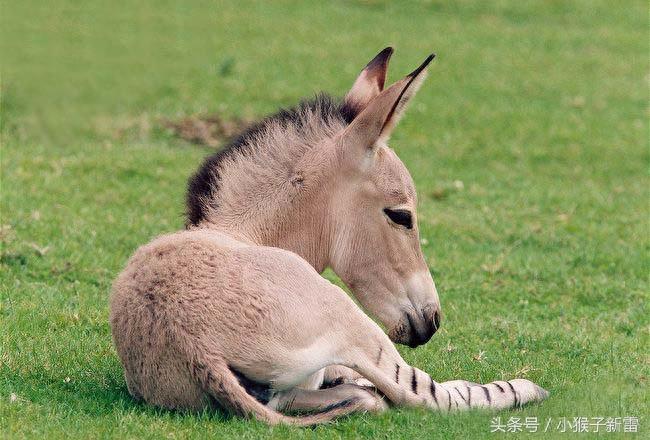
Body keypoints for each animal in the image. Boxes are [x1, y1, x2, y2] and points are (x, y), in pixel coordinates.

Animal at [111, 47, 548, 422]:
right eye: (401, 216)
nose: (433, 321)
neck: (245, 233)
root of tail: (196, 347)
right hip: (351, 318)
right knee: (425, 396)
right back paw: (526, 388)